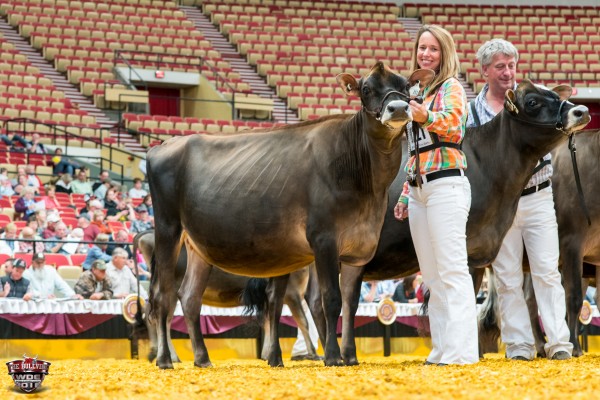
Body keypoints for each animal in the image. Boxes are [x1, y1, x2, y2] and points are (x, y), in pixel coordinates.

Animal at [132, 230, 321, 365]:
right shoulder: (292, 293)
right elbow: (303, 321)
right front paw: (312, 353)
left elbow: (268, 321)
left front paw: (267, 353)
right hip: (170, 286)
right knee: (161, 316)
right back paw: (167, 355)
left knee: (155, 314)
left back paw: (158, 353)